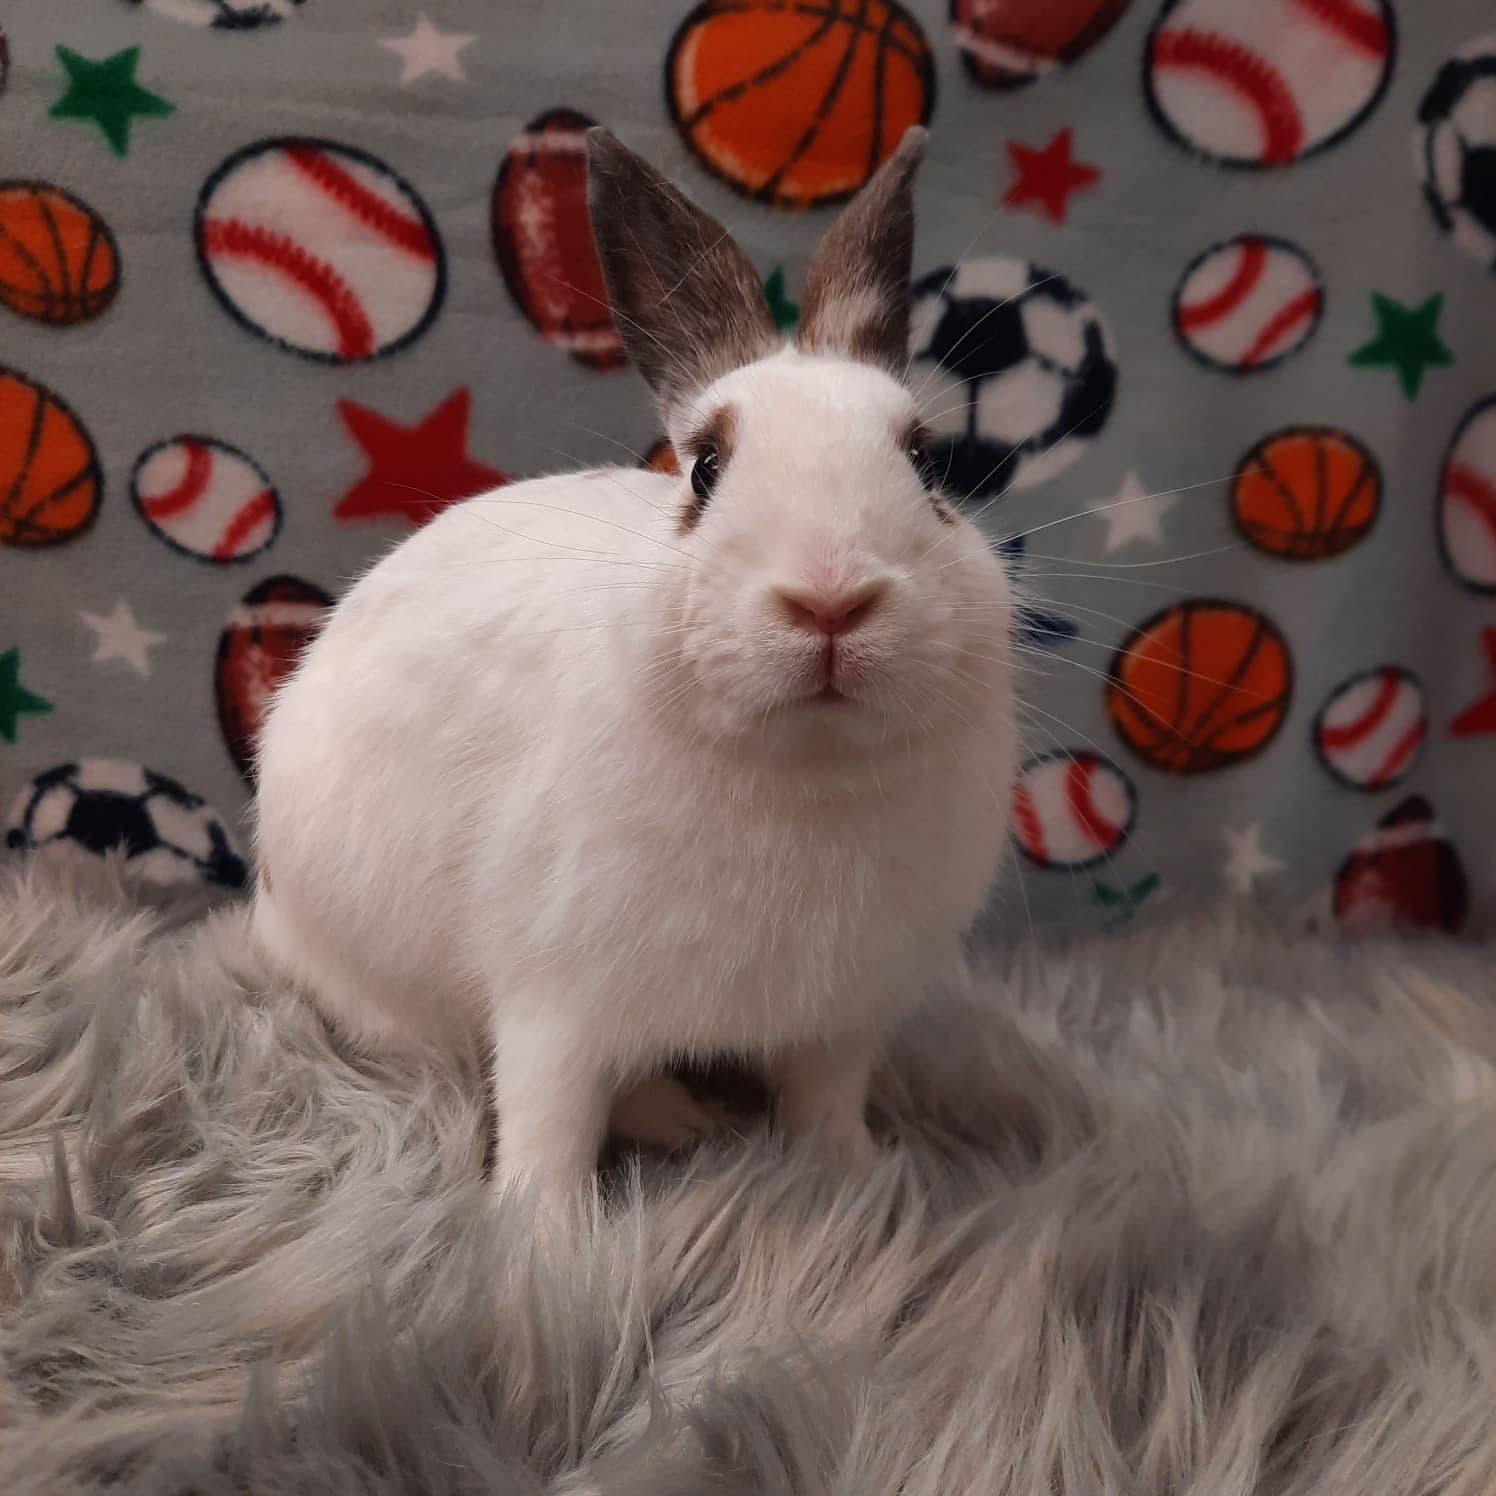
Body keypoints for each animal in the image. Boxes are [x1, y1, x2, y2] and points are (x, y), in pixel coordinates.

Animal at [251, 125, 1018, 1209]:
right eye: (703, 469)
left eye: (925, 465)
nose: (829, 599)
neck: (805, 772)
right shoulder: (554, 1003)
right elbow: (550, 1120)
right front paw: (542, 1231)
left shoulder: (841, 1019)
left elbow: (826, 1102)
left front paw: (866, 1183)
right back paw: (673, 1118)